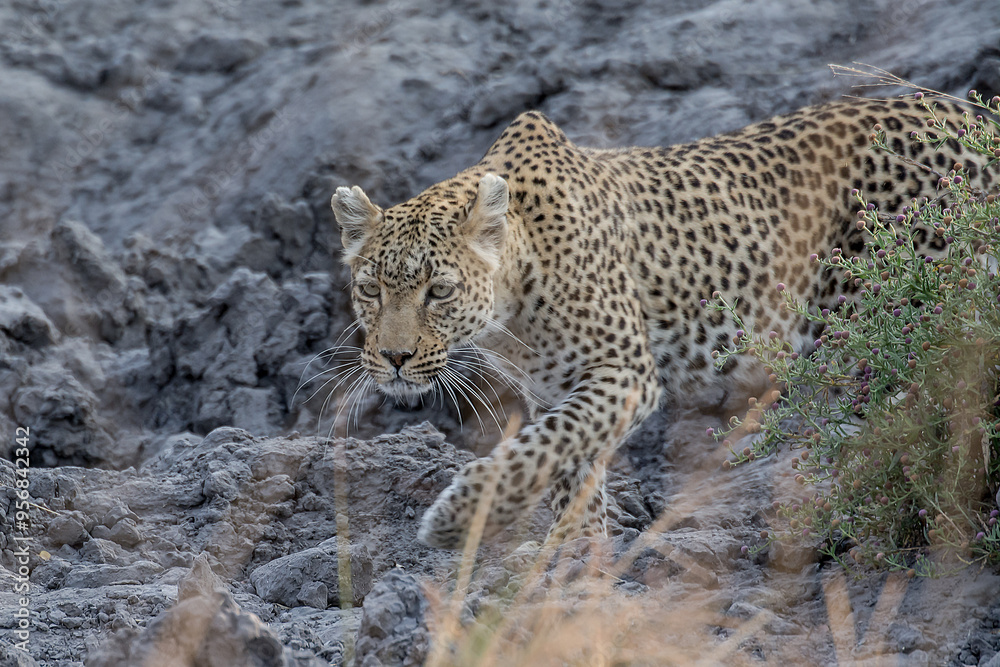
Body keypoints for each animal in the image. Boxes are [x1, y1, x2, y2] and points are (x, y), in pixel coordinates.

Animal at [330, 96, 995, 549]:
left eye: (438, 292)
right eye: (370, 289)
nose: (393, 359)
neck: (510, 312)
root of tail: (965, 112)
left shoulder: (624, 372)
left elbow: (540, 446)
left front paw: (462, 516)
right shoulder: (556, 388)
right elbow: (564, 459)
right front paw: (574, 555)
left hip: (904, 318)